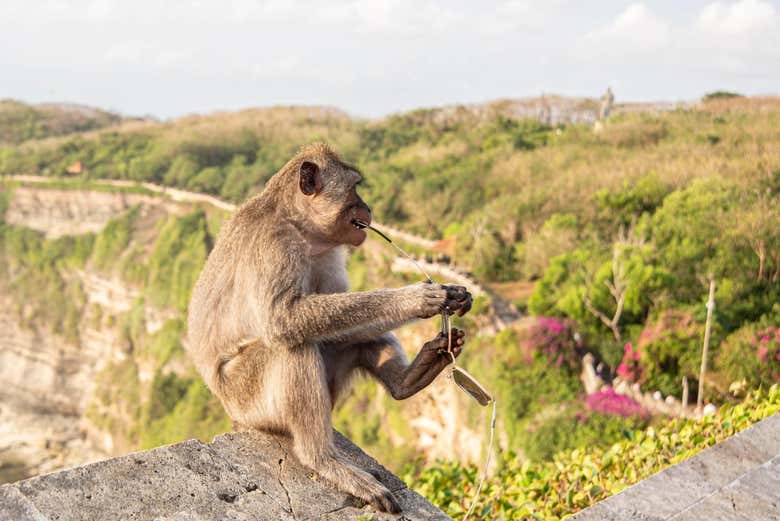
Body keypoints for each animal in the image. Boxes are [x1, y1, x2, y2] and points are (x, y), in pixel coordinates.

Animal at [187, 143, 472, 513]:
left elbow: (339, 311)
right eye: (354, 189)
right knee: (292, 347)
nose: (369, 208)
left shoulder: (329, 252)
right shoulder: (275, 245)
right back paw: (322, 459)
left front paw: (453, 296)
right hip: (246, 399)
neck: (300, 227)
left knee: (353, 334)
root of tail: (232, 411)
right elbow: (283, 319)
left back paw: (407, 380)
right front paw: (416, 299)